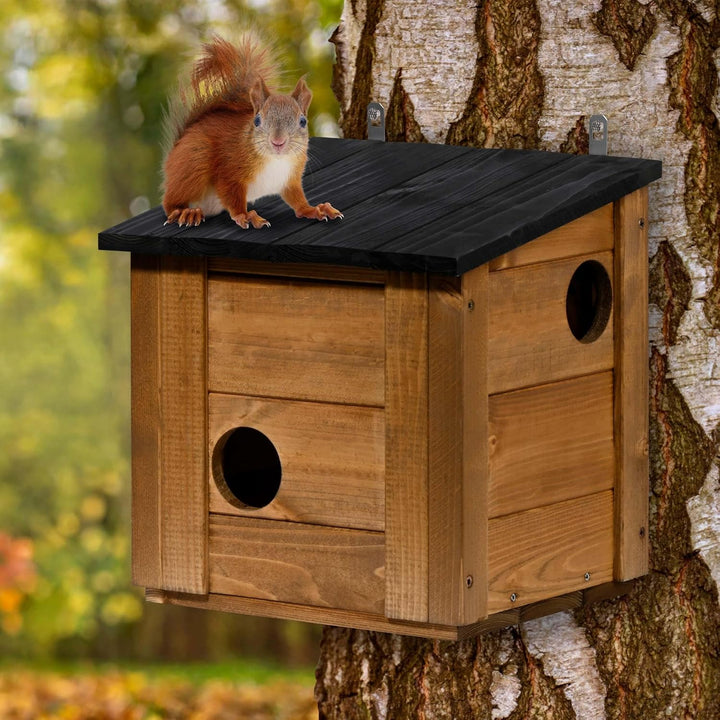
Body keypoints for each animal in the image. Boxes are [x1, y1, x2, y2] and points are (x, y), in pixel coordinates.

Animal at [161, 35, 343, 229]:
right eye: (257, 121)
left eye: (302, 121)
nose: (278, 142)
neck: (275, 160)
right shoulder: (229, 171)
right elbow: (231, 196)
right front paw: (246, 216)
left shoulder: (290, 179)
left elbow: (297, 201)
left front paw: (315, 209)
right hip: (194, 161)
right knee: (170, 201)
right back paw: (185, 212)